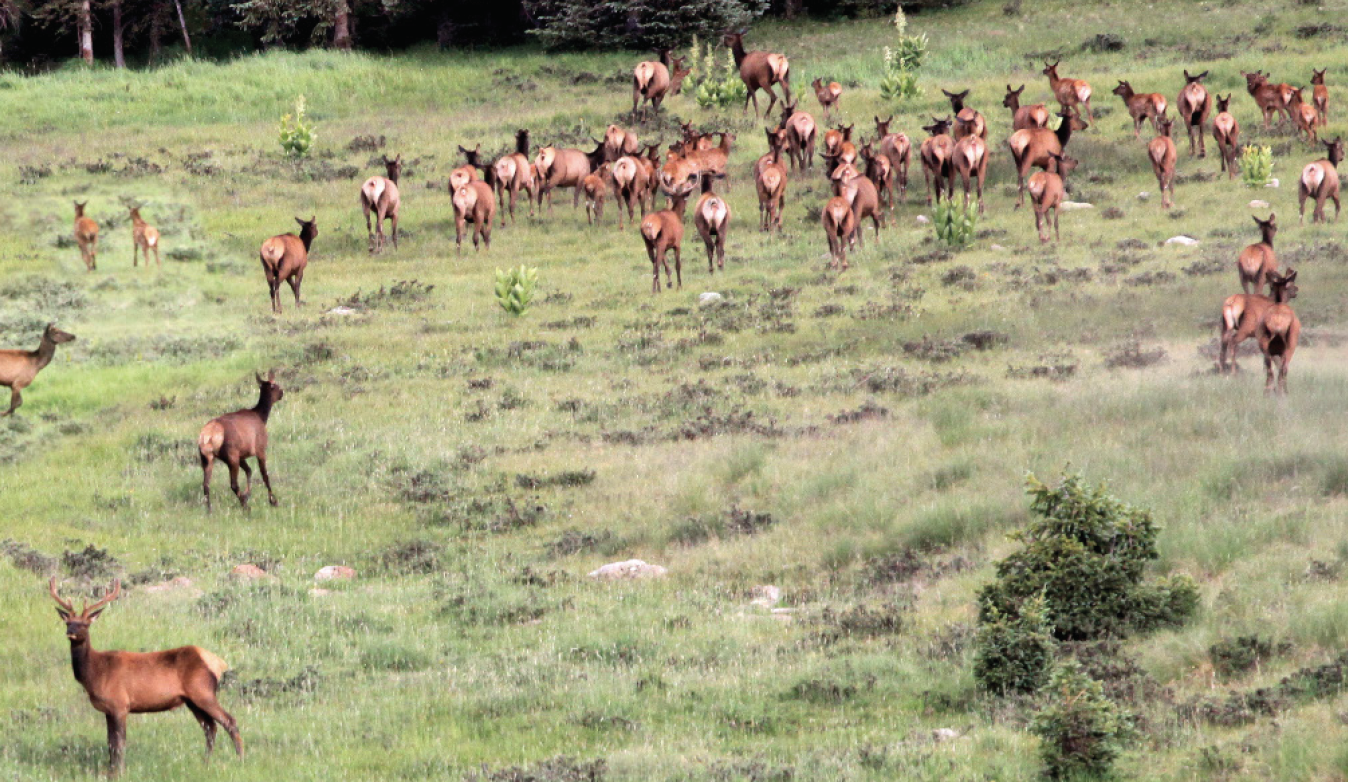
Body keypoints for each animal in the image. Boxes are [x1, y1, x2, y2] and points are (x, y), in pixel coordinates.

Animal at [48, 574, 243, 776]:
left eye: (85, 624)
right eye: (68, 622)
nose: (70, 632)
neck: (95, 673)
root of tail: (219, 663)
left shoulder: (120, 704)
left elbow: (119, 743)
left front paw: (120, 772)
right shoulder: (109, 709)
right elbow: (110, 743)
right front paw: (111, 771)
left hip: (203, 692)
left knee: (229, 721)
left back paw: (240, 760)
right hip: (192, 700)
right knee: (210, 727)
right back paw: (206, 762)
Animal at [196, 372, 284, 512]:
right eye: (274, 385)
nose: (282, 392)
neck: (261, 416)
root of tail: (208, 435)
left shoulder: (242, 455)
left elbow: (249, 470)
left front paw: (247, 494)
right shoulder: (260, 449)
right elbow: (265, 475)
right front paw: (273, 501)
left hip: (207, 458)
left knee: (206, 484)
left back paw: (210, 510)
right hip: (231, 457)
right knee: (233, 484)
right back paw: (245, 507)